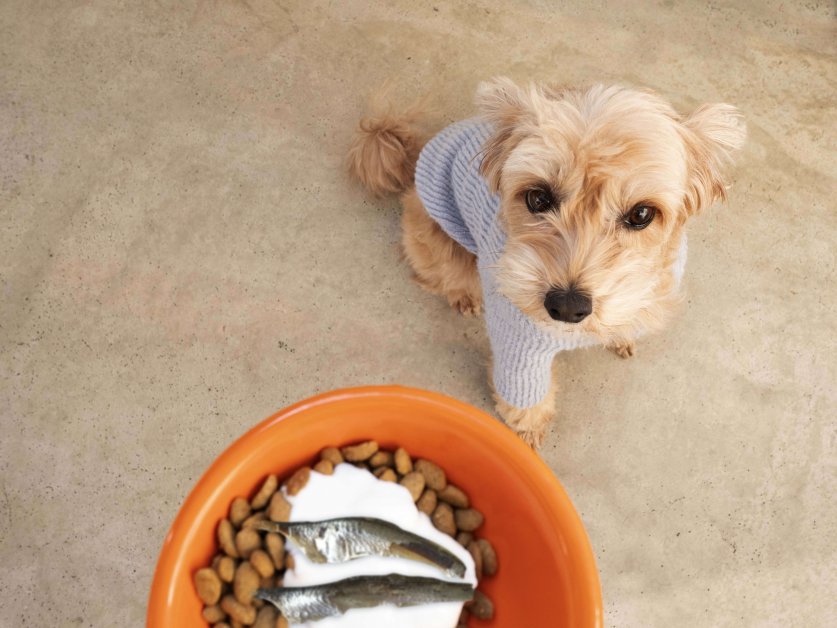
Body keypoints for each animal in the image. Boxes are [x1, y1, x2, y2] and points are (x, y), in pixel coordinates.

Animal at [346, 78, 744, 446]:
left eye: (642, 213)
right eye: (538, 198)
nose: (567, 306)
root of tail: (414, 156)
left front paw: (621, 334)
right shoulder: (518, 343)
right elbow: (524, 399)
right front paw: (528, 431)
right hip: (438, 240)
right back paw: (464, 295)